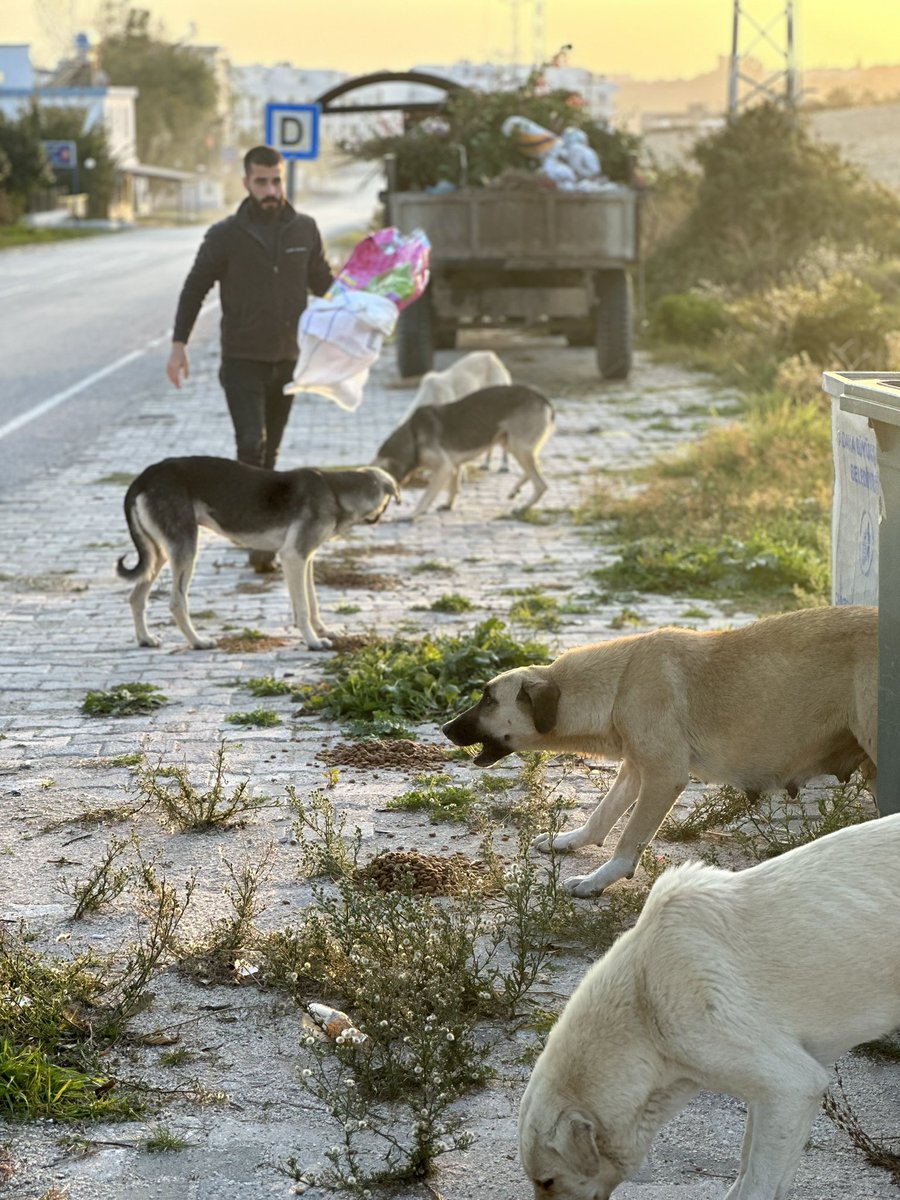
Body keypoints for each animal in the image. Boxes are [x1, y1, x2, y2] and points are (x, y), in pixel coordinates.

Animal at [116, 456, 398, 648]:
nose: (379, 519)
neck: (335, 491)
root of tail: (144, 477)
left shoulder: (305, 559)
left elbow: (312, 601)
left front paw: (323, 630)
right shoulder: (293, 556)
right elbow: (303, 607)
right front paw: (312, 641)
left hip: (161, 554)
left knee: (136, 596)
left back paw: (145, 638)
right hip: (185, 549)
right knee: (176, 602)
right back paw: (198, 641)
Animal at [374, 381, 556, 518]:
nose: (375, 516)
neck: (413, 434)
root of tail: (541, 397)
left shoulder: (444, 468)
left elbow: (427, 495)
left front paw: (413, 513)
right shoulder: (454, 466)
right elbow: (453, 488)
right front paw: (448, 505)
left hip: (518, 447)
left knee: (541, 485)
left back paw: (522, 508)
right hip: (511, 443)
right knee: (537, 468)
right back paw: (515, 490)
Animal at [444, 604, 883, 897]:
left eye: (487, 699)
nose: (445, 728)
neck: (618, 683)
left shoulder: (662, 777)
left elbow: (627, 840)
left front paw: (597, 880)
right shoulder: (635, 768)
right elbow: (602, 816)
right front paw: (569, 841)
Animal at [518, 816, 900, 1200]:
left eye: (547, 1180)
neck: (644, 1004)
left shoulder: (792, 1087)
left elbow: (757, 1184)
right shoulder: (774, 1100)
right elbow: (749, 1169)